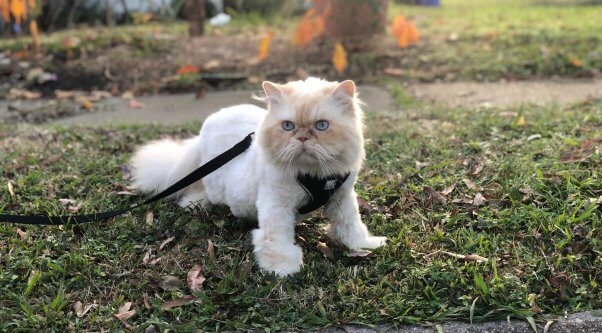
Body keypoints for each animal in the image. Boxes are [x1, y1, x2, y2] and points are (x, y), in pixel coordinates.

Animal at [129, 78, 386, 274]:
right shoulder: (277, 204)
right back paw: (195, 203)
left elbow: (351, 225)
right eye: (288, 126)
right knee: (201, 189)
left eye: (322, 126)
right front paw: (282, 268)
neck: (313, 175)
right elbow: (275, 238)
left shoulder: (341, 198)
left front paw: (365, 245)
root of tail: (211, 122)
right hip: (213, 183)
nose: (302, 138)